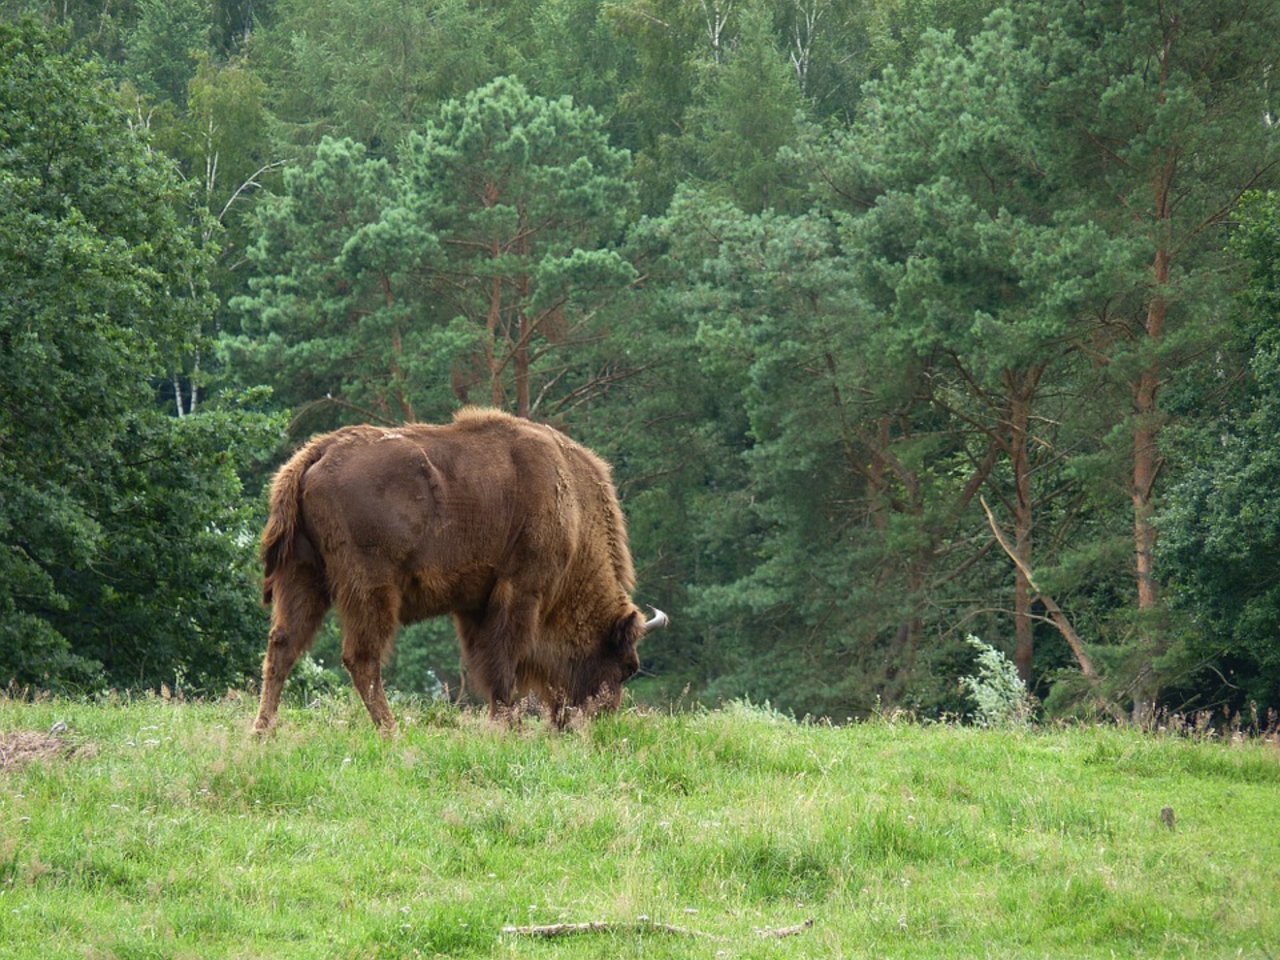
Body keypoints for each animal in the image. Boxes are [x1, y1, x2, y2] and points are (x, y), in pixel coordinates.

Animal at [250, 407, 670, 737]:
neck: (573, 509)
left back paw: (262, 734)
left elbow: (486, 663)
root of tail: (317, 452)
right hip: (370, 587)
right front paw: (511, 727)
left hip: (302, 574)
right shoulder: (521, 591)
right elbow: (504, 662)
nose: (597, 722)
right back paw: (392, 733)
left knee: (283, 646)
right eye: (626, 666)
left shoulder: (475, 604)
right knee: (361, 658)